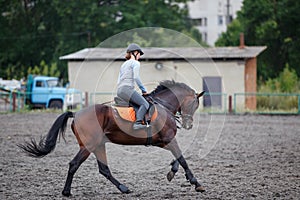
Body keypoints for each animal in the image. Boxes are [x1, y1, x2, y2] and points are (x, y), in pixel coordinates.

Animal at [18, 80, 205, 197]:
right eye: (195, 104)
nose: (188, 124)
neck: (163, 106)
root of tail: (76, 113)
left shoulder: (162, 141)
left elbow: (178, 158)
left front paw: (172, 172)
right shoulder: (168, 139)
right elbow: (183, 158)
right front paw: (196, 183)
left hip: (98, 146)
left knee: (104, 169)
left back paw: (123, 188)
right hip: (88, 146)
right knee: (74, 164)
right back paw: (66, 192)